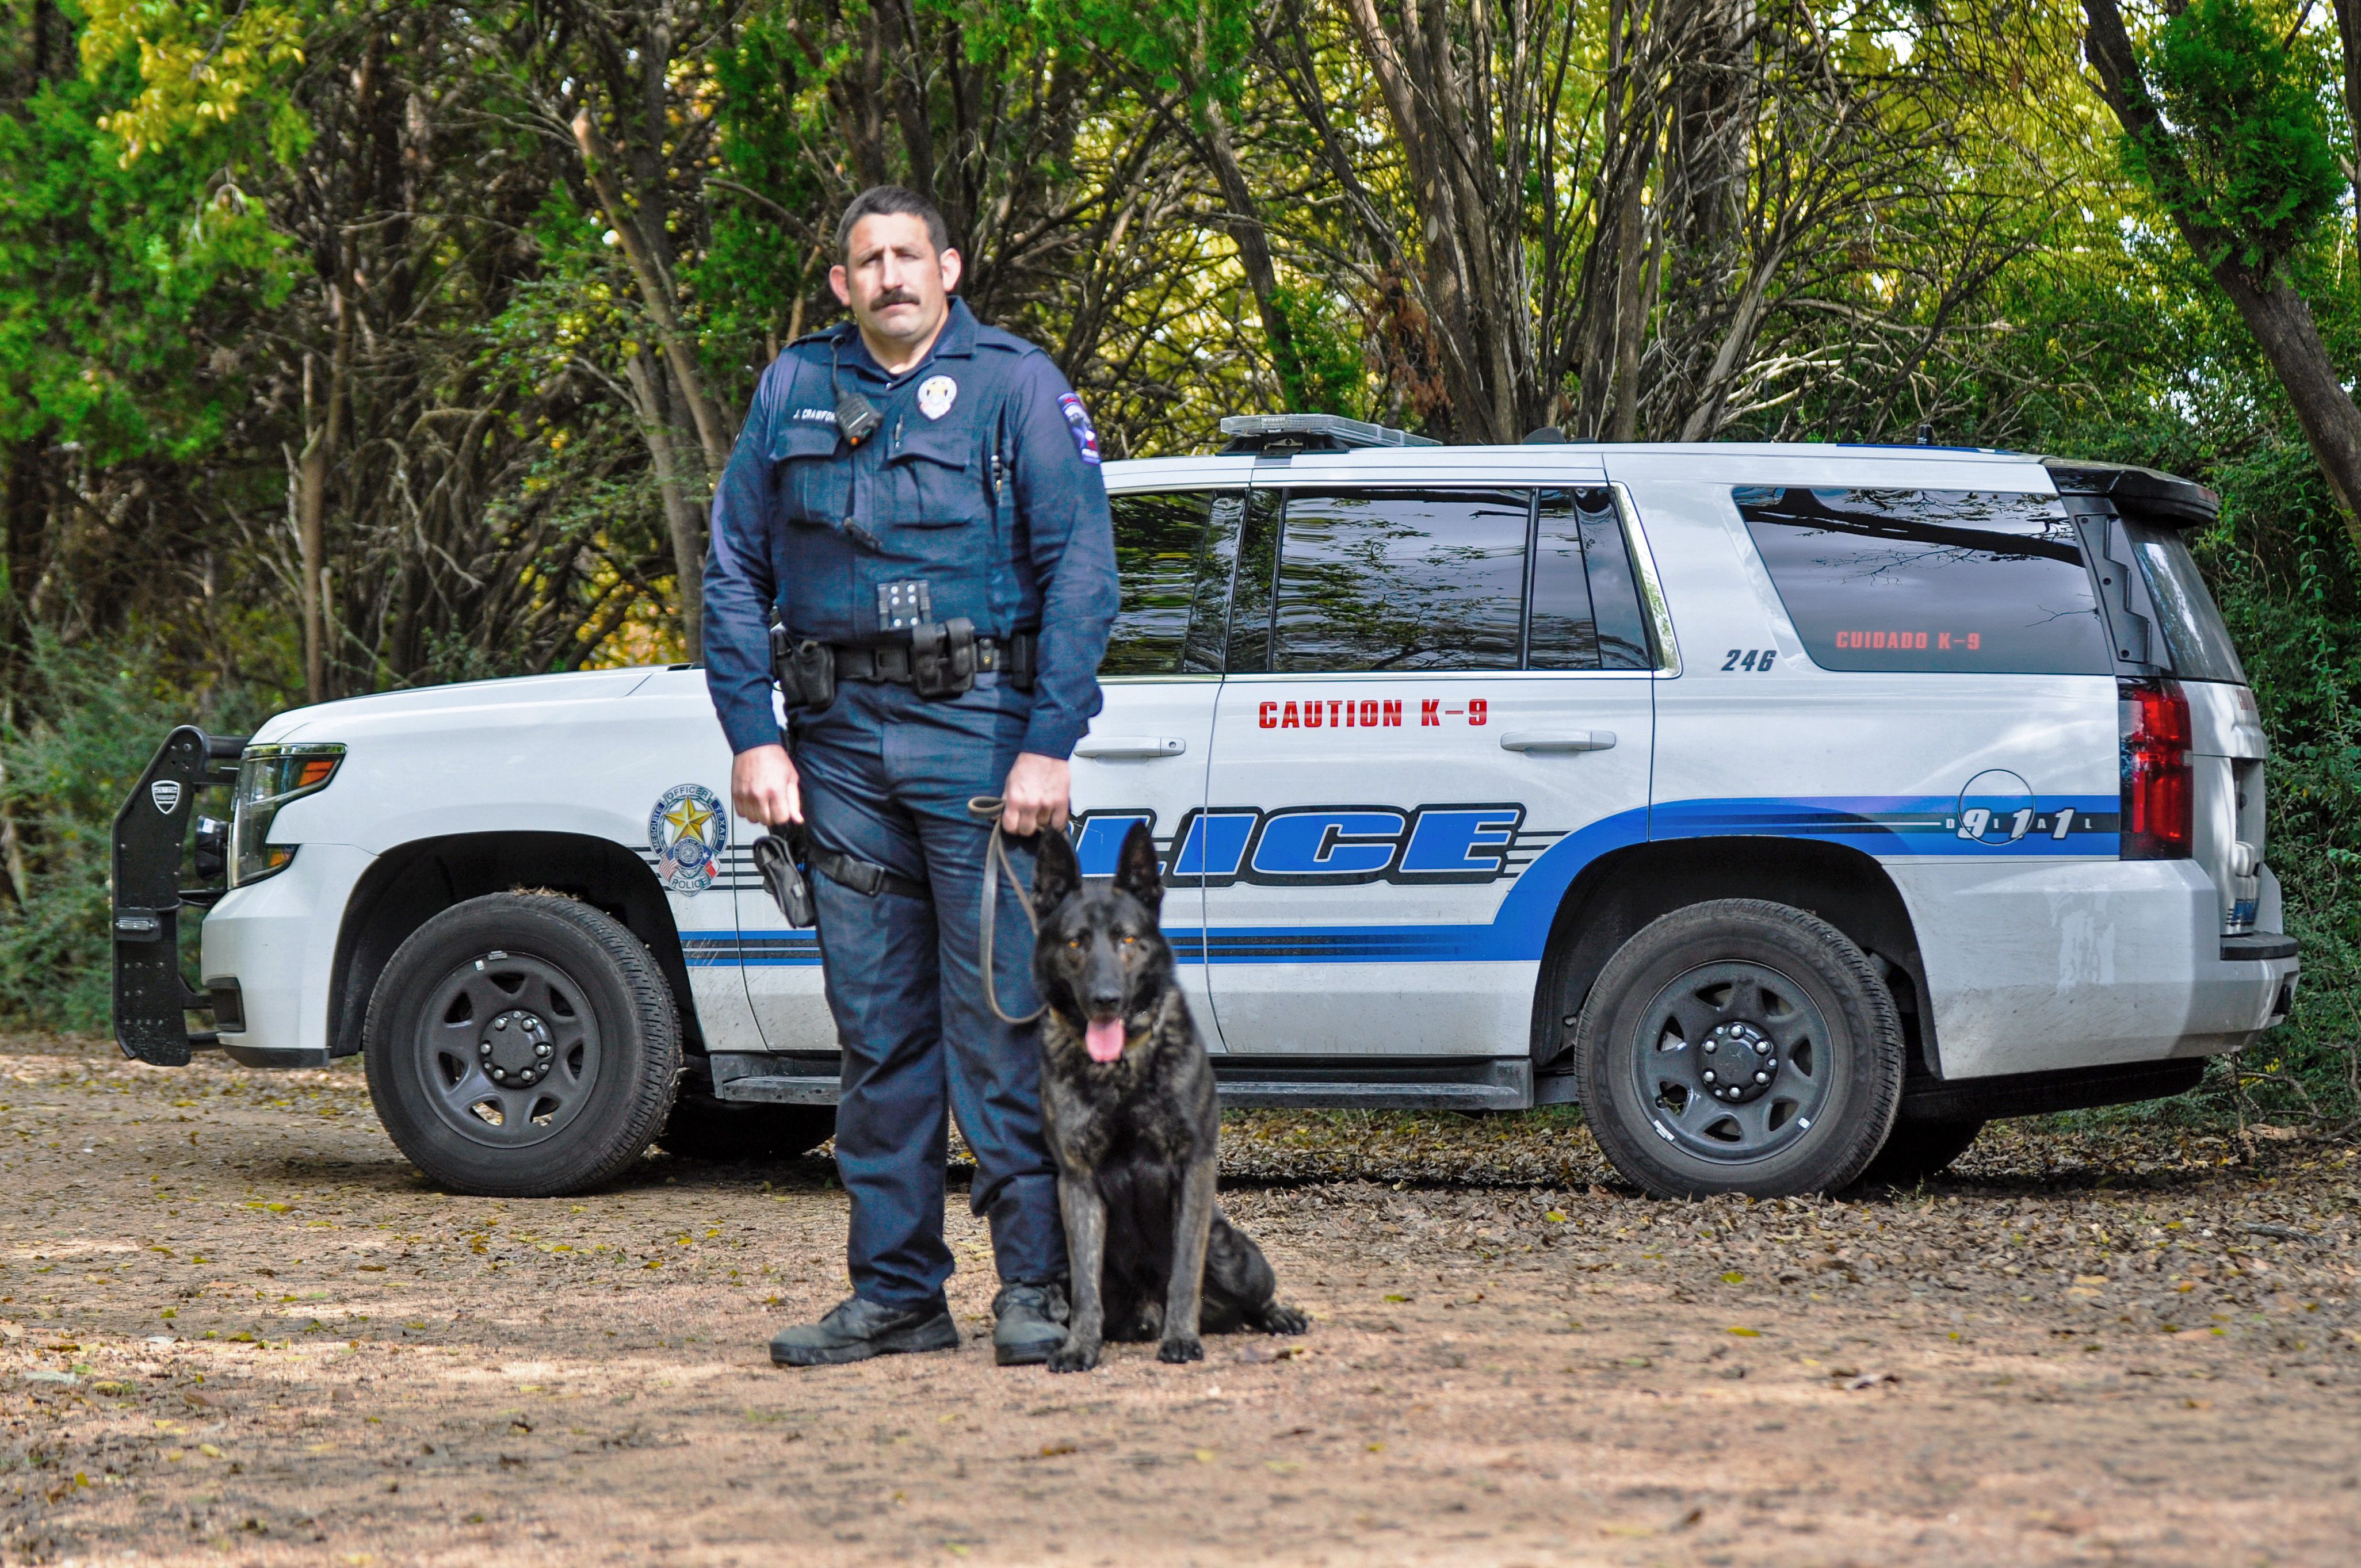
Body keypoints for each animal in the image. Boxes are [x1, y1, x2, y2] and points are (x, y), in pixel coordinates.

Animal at [1025, 821, 1303, 1370]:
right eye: (1076, 943)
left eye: (1128, 940)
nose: (1106, 1001)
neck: (1122, 1073)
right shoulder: (1077, 1180)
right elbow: (1086, 1288)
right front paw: (1080, 1346)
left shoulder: (1194, 1165)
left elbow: (1184, 1271)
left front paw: (1181, 1338)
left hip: (1234, 1256)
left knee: (1252, 1296)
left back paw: (1275, 1316)